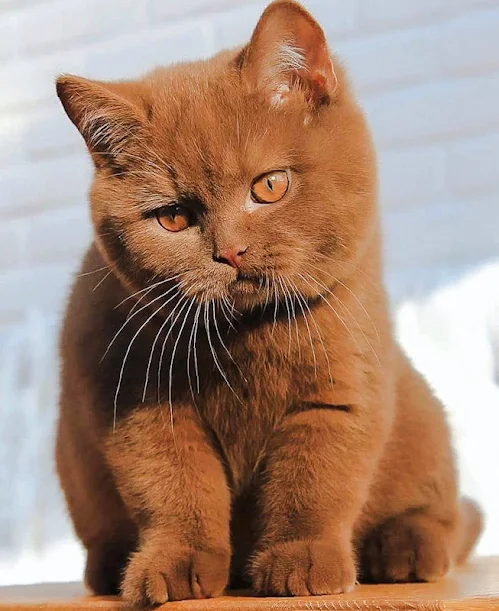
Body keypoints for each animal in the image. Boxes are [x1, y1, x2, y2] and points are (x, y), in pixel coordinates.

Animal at [56, 0, 482, 604]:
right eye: (173, 217)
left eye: (271, 186)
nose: (229, 251)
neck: (246, 333)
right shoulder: (137, 403)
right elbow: (174, 487)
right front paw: (176, 563)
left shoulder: (341, 386)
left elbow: (313, 480)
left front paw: (300, 560)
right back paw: (109, 565)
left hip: (423, 418)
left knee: (443, 513)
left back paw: (405, 548)